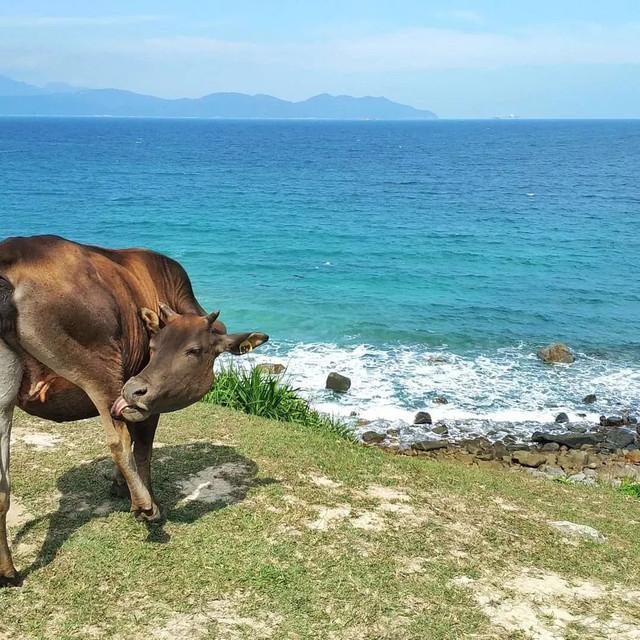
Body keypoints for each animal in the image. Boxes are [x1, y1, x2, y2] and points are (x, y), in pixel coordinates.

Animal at [0, 235, 268, 584]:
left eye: (193, 350)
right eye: (153, 346)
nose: (134, 389)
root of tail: (10, 256)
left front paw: (118, 485)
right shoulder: (146, 405)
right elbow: (142, 449)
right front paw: (146, 499)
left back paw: (7, 569)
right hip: (98, 365)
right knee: (117, 440)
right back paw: (147, 506)